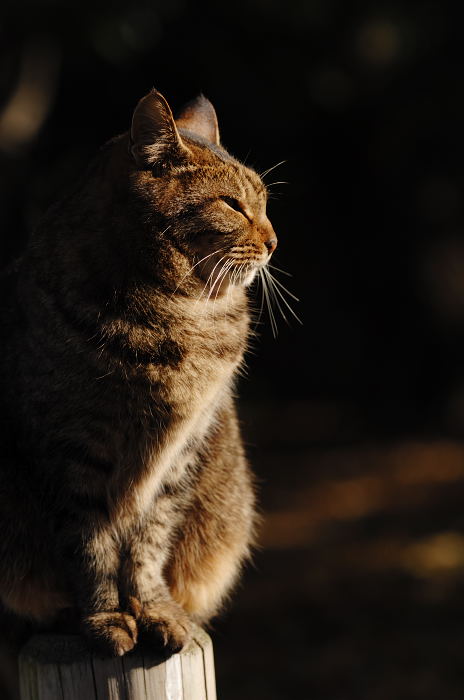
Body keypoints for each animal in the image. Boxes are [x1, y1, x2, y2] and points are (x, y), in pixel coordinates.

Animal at [0, 86, 278, 656]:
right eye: (232, 204)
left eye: (264, 203)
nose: (274, 240)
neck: (174, 318)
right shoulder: (71, 452)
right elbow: (91, 546)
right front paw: (106, 618)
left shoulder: (180, 455)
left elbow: (149, 544)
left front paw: (155, 612)